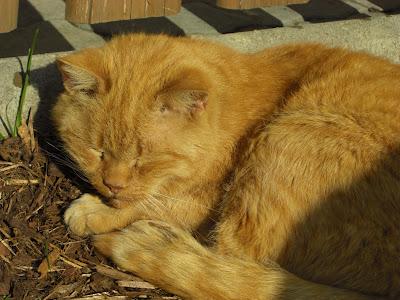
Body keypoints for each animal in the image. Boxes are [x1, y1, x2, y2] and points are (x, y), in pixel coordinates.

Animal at [52, 34, 400, 298]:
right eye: (97, 152)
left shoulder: (202, 206)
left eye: (144, 159)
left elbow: (154, 203)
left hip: (286, 137)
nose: (112, 184)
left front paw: (95, 210)